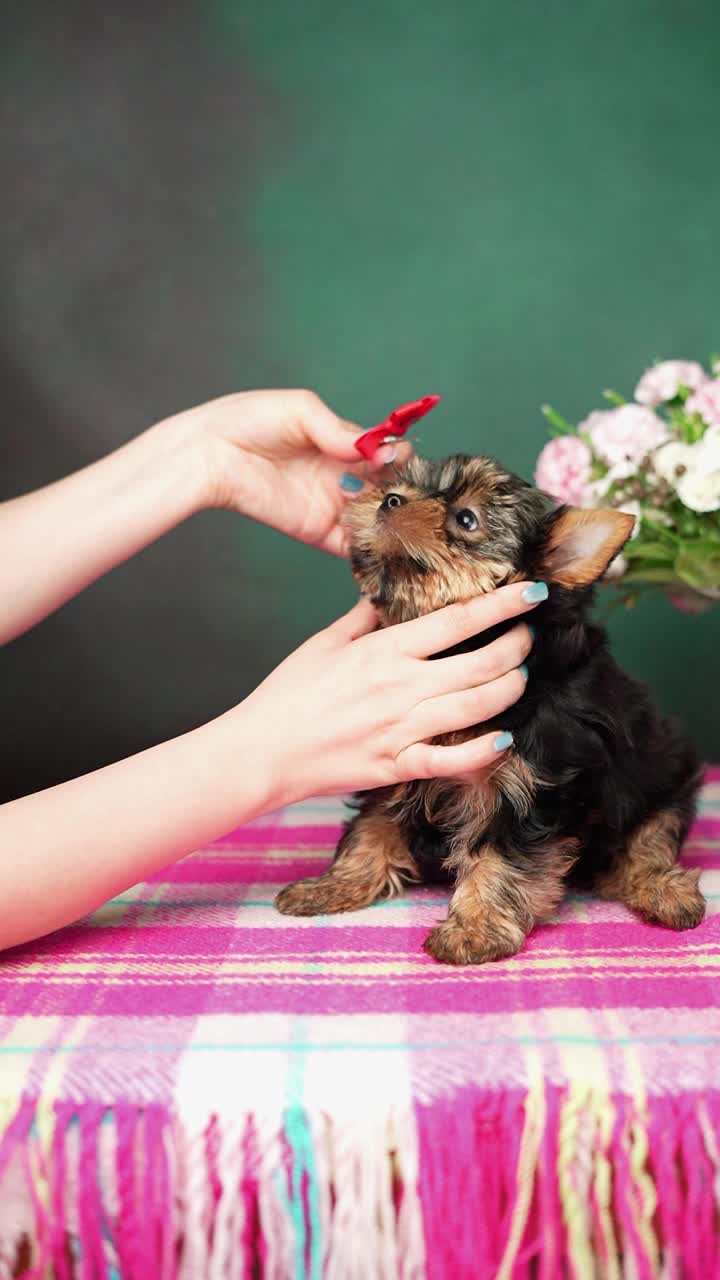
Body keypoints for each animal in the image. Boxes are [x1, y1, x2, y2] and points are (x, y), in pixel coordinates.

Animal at [272, 455, 702, 962]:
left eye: (466, 519)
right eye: (411, 485)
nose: (390, 499)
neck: (455, 651)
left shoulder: (528, 785)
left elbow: (500, 855)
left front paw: (473, 929)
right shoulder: (395, 762)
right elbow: (371, 826)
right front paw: (334, 885)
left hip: (665, 780)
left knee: (647, 842)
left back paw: (665, 890)